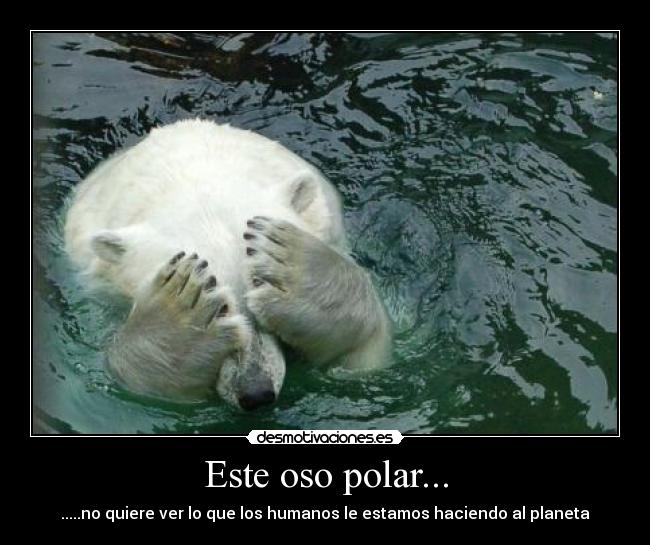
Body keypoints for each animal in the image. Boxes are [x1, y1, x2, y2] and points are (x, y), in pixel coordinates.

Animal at [64, 119, 391, 410]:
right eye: (219, 307)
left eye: (260, 287)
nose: (256, 393)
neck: (194, 172)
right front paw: (175, 317)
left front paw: (299, 268)